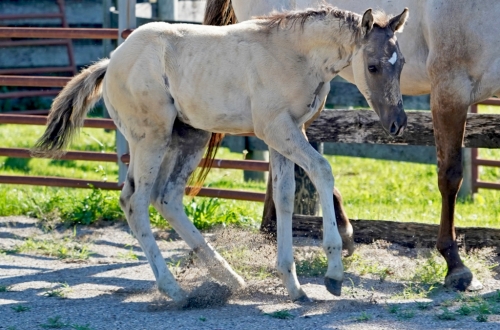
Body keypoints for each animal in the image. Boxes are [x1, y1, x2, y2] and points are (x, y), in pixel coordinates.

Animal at [33, 5, 410, 304]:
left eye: (402, 63)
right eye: (373, 66)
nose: (398, 123)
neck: (297, 55)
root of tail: (111, 61)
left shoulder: (286, 133)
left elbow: (284, 196)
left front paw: (293, 285)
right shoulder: (277, 130)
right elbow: (322, 170)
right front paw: (333, 273)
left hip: (189, 136)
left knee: (166, 197)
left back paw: (229, 278)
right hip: (151, 138)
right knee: (135, 200)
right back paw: (174, 290)